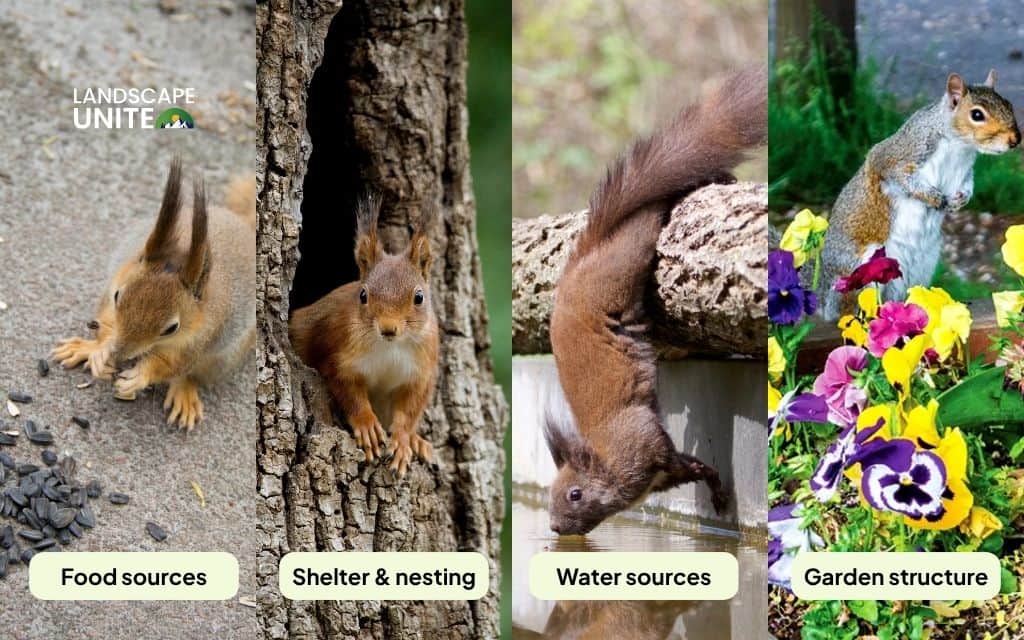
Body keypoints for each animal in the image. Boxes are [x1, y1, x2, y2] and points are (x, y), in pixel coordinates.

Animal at [52, 157, 257, 430]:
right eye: (118, 296)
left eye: (171, 328)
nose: (119, 353)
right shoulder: (112, 290)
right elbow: (106, 324)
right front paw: (100, 352)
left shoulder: (202, 336)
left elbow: (172, 365)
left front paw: (139, 376)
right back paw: (83, 348)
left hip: (225, 358)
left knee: (191, 375)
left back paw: (184, 393)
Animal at [288, 194, 438, 476]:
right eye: (363, 295)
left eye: (419, 297)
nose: (388, 328)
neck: (390, 347)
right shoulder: (339, 357)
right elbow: (350, 394)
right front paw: (367, 426)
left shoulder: (422, 371)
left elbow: (410, 409)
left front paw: (403, 439)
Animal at [543, 68, 767, 535]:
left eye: (575, 494)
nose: (555, 528)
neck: (607, 459)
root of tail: (581, 262)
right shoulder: (660, 474)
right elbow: (691, 468)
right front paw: (715, 489)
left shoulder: (646, 445)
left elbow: (682, 459)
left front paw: (717, 491)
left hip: (623, 263)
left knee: (645, 219)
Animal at [817, 70, 1020, 319]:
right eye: (977, 114)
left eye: (1008, 104)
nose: (1015, 139)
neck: (960, 146)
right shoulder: (900, 155)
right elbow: (901, 179)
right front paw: (934, 197)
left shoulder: (965, 172)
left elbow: (967, 185)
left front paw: (961, 199)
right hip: (863, 273)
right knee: (852, 308)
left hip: (921, 267)